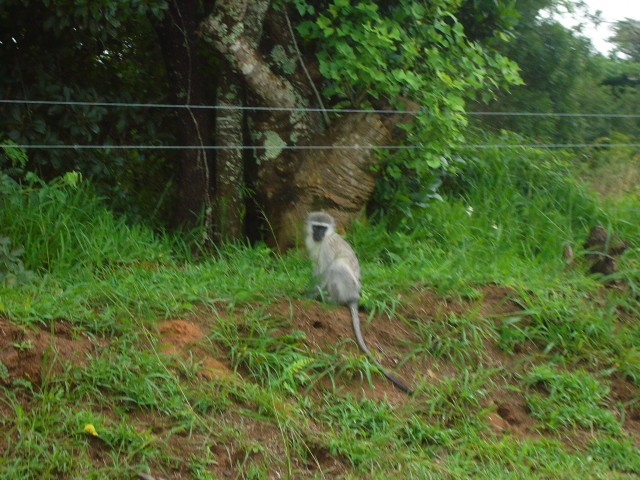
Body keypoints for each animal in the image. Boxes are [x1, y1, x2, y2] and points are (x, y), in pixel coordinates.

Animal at [304, 210, 412, 394]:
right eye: (316, 227)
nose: (318, 234)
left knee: (337, 266)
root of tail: (355, 296)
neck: (323, 240)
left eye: (323, 228)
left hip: (349, 287)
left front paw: (310, 295)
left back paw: (332, 300)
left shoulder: (327, 248)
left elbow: (325, 271)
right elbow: (317, 270)